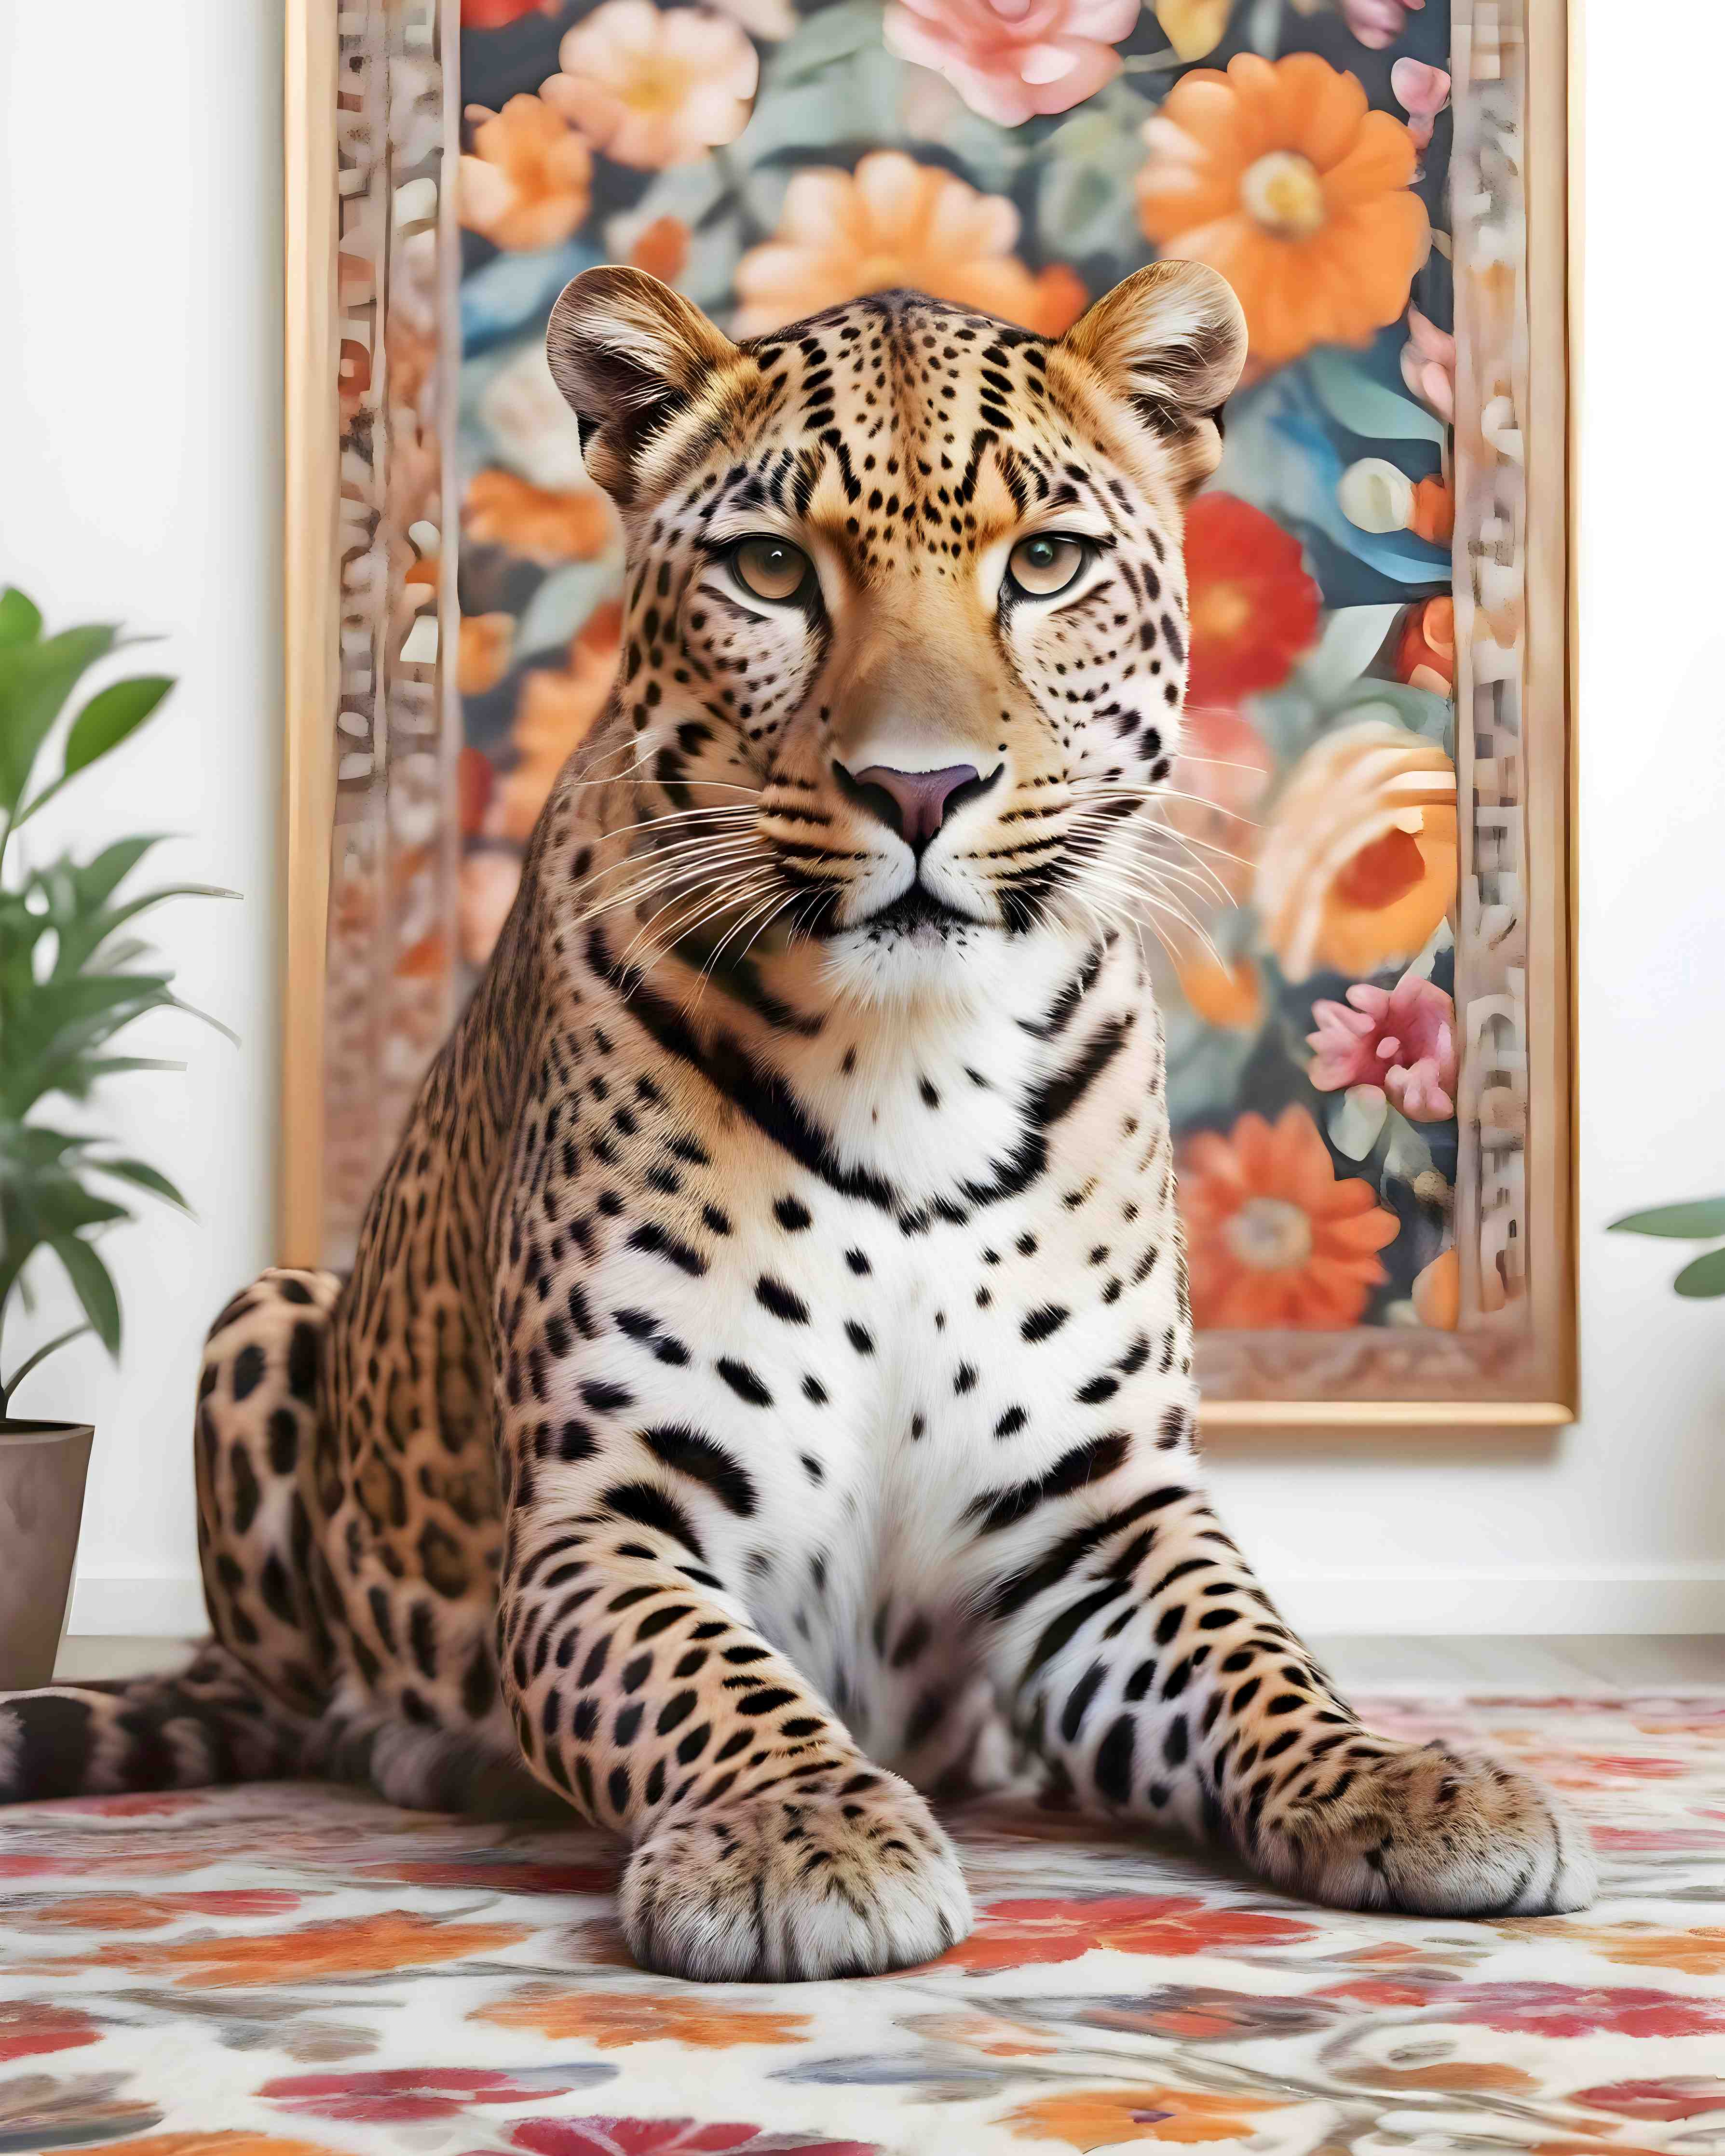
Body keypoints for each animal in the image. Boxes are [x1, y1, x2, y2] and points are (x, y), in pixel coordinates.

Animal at [0, 263, 1595, 1980]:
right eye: (771, 569)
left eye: (1044, 563)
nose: (922, 788)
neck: (914, 1066)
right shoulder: (605, 1508)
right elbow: (709, 1678)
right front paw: (802, 1834)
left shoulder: (1098, 1511)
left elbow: (1258, 1659)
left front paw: (1401, 1776)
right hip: (267, 1314)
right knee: (300, 1694)